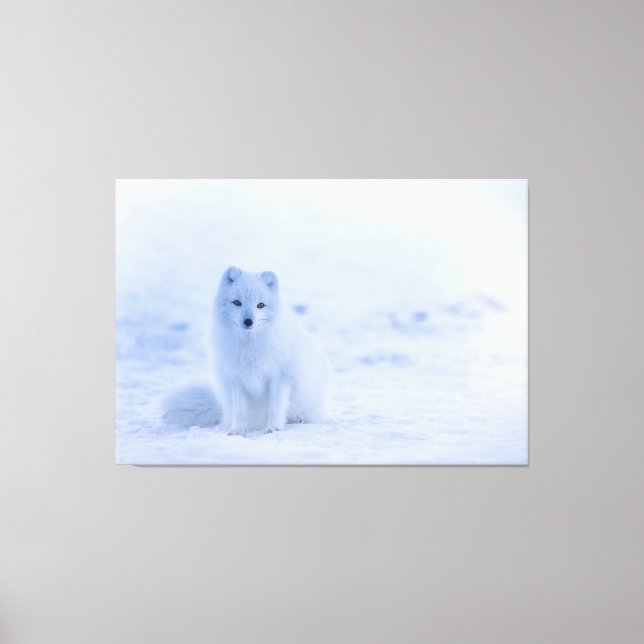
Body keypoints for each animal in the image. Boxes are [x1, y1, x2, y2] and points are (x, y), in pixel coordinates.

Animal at [163, 266, 330, 435]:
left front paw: (273, 428)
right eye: (237, 302)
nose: (248, 321)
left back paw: (296, 419)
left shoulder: (280, 377)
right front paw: (237, 431)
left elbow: (275, 408)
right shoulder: (236, 379)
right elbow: (240, 411)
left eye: (260, 305)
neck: (250, 347)